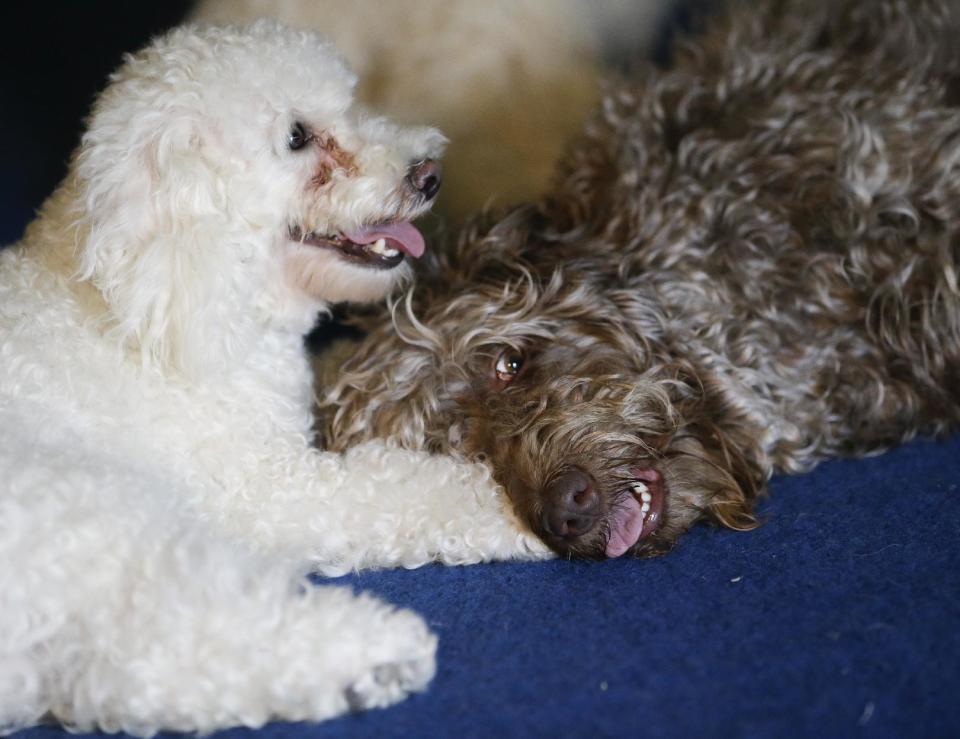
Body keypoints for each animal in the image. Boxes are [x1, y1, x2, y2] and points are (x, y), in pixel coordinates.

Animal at [0, 21, 540, 736]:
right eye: (297, 138)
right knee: (171, 647)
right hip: (93, 519)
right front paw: (499, 505)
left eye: (348, 104)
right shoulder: (266, 488)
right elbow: (394, 491)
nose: (430, 174)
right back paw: (370, 651)